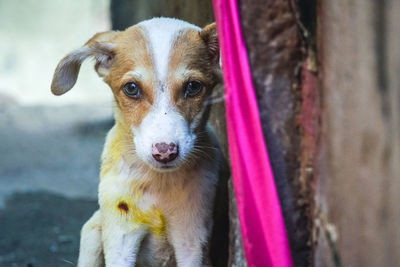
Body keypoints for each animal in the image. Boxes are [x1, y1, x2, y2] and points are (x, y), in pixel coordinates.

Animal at [50, 17, 228, 266]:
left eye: (193, 87)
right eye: (132, 88)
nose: (165, 152)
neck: (158, 185)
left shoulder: (192, 238)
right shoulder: (121, 234)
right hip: (93, 230)